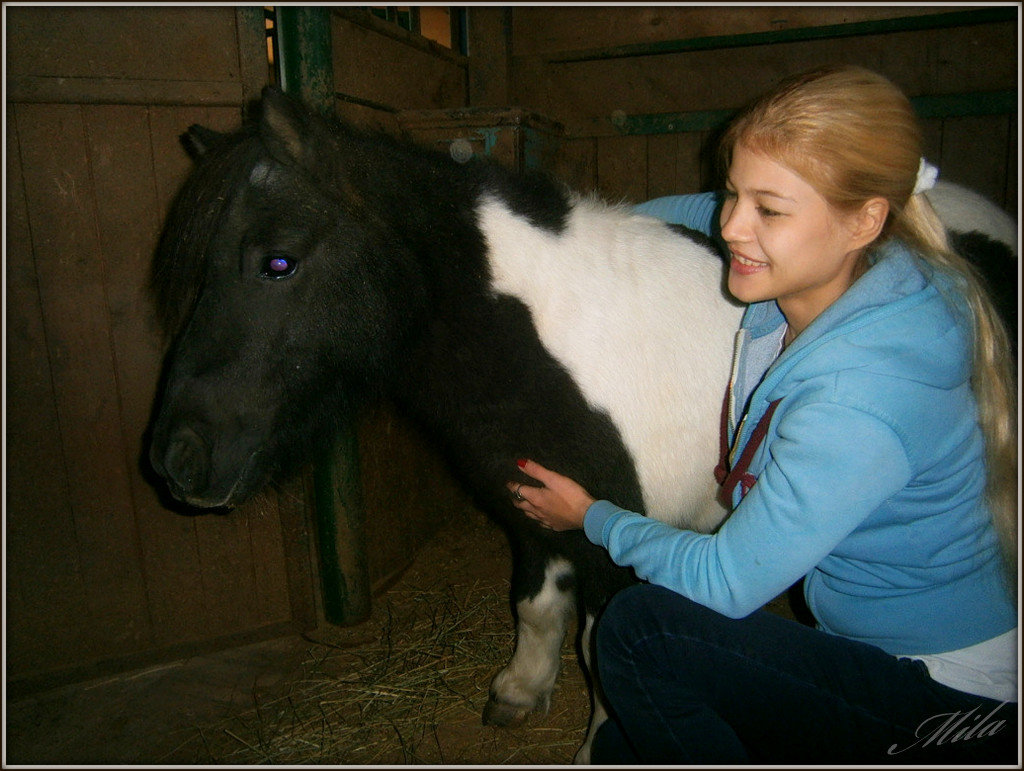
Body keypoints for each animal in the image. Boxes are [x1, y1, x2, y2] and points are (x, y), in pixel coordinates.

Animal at [149, 87, 1015, 761]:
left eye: (279, 261)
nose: (178, 459)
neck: (551, 344)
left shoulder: (623, 543)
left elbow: (603, 648)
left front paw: (602, 742)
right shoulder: (531, 507)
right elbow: (537, 604)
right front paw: (520, 689)